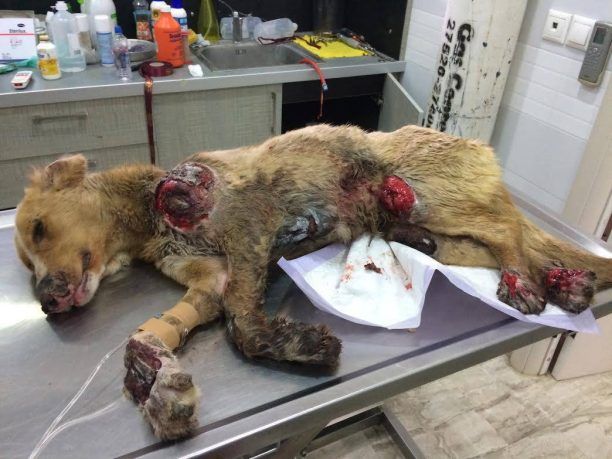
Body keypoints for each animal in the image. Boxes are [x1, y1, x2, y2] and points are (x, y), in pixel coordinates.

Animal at [14, 124, 612, 440]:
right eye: (26, 265)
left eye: (40, 229)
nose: (46, 302)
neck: (149, 213)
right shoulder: (208, 282)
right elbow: (159, 330)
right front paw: (154, 382)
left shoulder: (246, 230)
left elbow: (244, 324)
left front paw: (297, 345)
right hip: (438, 231)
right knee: (505, 243)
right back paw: (566, 282)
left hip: (434, 195)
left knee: (509, 232)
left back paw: (534, 283)